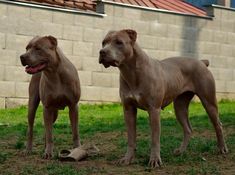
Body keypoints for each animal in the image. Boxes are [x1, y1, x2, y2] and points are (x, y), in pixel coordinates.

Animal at [99, 29, 228, 168]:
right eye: (104, 42)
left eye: (119, 42)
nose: (102, 52)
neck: (132, 72)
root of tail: (202, 62)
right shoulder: (128, 110)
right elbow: (131, 137)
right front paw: (127, 159)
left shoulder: (154, 110)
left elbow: (155, 138)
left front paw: (155, 160)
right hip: (180, 107)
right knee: (188, 129)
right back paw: (180, 151)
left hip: (209, 101)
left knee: (218, 125)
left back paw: (222, 148)